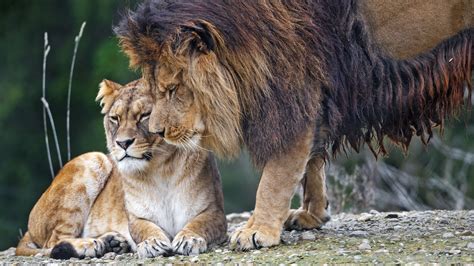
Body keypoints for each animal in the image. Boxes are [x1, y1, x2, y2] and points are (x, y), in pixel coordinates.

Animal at [15, 80, 227, 258]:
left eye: (145, 115)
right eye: (115, 118)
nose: (123, 143)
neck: (161, 169)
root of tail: (28, 228)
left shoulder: (214, 212)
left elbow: (199, 224)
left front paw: (188, 239)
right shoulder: (136, 218)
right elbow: (145, 228)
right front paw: (152, 243)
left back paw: (113, 243)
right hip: (94, 158)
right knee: (53, 242)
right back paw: (92, 245)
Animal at [115, 0, 474, 250]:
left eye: (173, 89)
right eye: (154, 89)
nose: (158, 132)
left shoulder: (290, 90)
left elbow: (275, 177)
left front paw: (256, 231)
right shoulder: (309, 87)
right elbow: (310, 164)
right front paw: (313, 215)